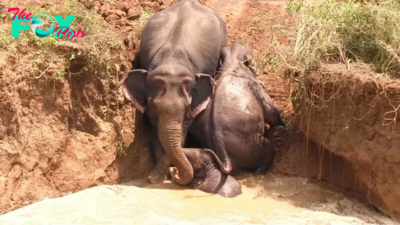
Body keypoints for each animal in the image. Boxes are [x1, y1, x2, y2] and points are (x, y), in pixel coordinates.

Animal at [119, 0, 227, 185]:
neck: (173, 60)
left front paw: (158, 176)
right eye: (154, 107)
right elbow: (157, 132)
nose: (174, 172)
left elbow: (182, 131)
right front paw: (157, 177)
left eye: (187, 106)